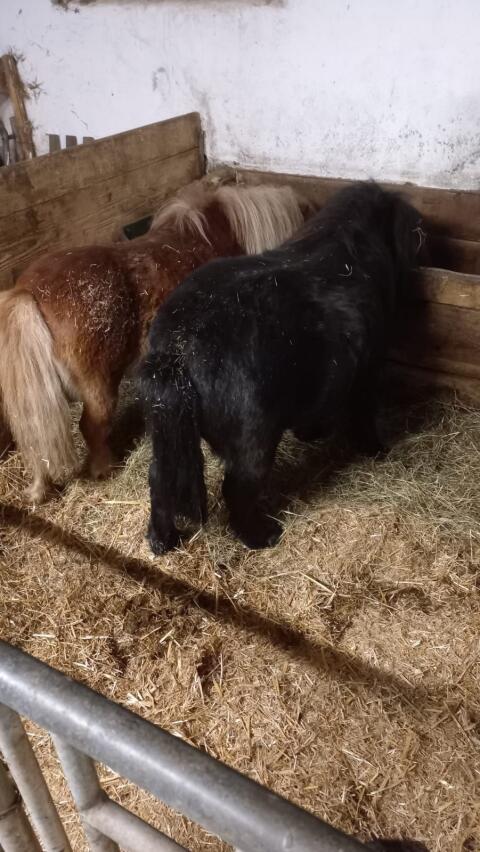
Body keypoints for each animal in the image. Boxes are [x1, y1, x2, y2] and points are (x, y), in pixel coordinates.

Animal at [0, 175, 310, 503]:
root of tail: (26, 293)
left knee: (35, 437)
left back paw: (38, 490)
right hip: (99, 389)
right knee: (91, 429)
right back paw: (105, 469)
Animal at [141, 181, 423, 554]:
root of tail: (176, 349)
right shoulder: (367, 366)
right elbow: (362, 411)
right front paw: (377, 450)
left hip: (166, 427)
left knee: (160, 478)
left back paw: (163, 543)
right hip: (253, 436)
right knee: (236, 487)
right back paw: (265, 537)